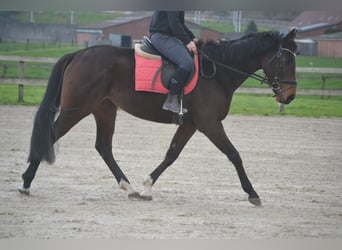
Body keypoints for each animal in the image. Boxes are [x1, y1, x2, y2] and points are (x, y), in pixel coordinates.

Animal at [18, 29, 296, 206]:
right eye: (285, 60)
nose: (290, 96)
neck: (217, 73)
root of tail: (78, 54)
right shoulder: (209, 124)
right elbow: (234, 154)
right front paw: (252, 193)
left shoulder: (191, 124)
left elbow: (171, 154)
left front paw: (147, 186)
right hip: (76, 109)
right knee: (51, 136)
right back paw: (26, 183)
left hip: (104, 109)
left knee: (103, 146)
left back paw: (129, 187)